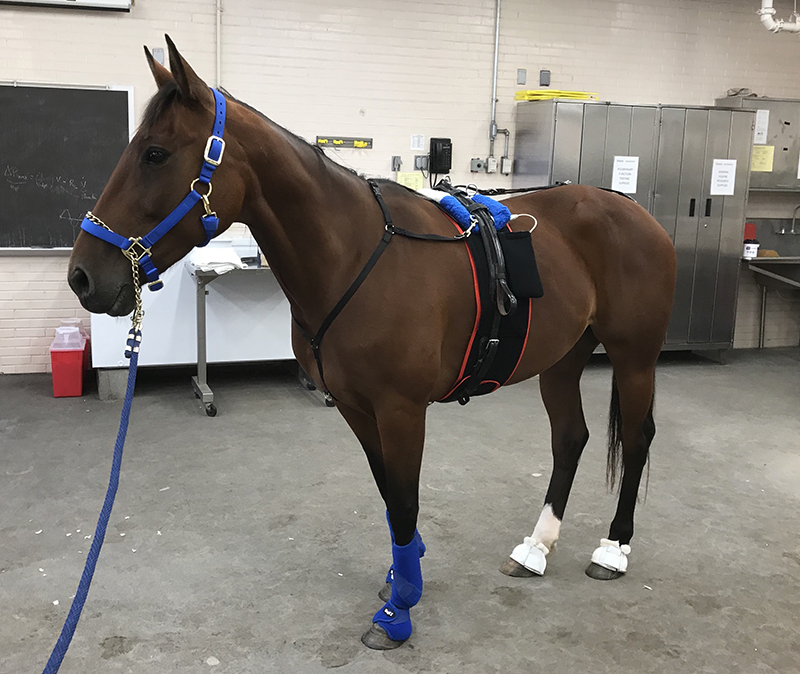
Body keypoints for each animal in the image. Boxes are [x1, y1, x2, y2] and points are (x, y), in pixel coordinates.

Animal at [69, 36, 680, 644]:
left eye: (155, 154)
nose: (82, 276)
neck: (355, 256)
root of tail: (632, 209)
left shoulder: (402, 410)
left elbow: (405, 502)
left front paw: (401, 607)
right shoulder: (356, 408)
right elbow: (389, 497)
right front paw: (400, 575)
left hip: (634, 358)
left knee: (638, 439)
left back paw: (612, 548)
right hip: (561, 359)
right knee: (570, 439)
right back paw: (537, 547)